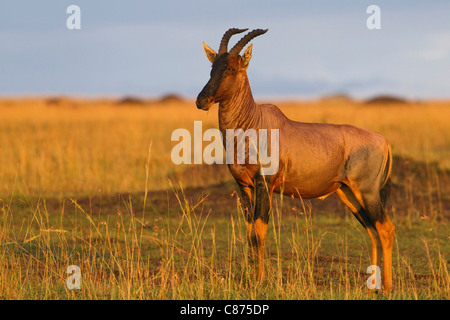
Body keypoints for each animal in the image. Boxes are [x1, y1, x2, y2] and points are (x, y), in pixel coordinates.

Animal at [195, 28, 396, 292]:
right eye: (212, 67)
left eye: (230, 68)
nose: (202, 100)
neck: (255, 121)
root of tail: (384, 141)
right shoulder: (244, 186)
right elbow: (249, 233)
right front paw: (252, 279)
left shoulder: (265, 185)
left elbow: (259, 232)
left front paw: (259, 281)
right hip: (349, 193)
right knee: (372, 230)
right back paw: (372, 286)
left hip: (368, 192)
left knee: (386, 229)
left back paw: (388, 287)